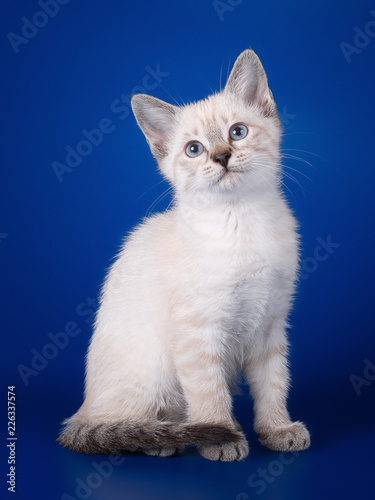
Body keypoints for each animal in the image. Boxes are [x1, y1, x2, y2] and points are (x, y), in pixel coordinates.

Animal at [59, 47, 312, 460]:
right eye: (194, 150)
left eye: (237, 132)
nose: (222, 156)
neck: (242, 219)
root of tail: (80, 411)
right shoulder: (198, 333)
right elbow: (209, 393)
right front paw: (221, 438)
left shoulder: (271, 324)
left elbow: (273, 384)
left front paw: (277, 430)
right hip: (150, 376)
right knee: (124, 424)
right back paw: (165, 439)